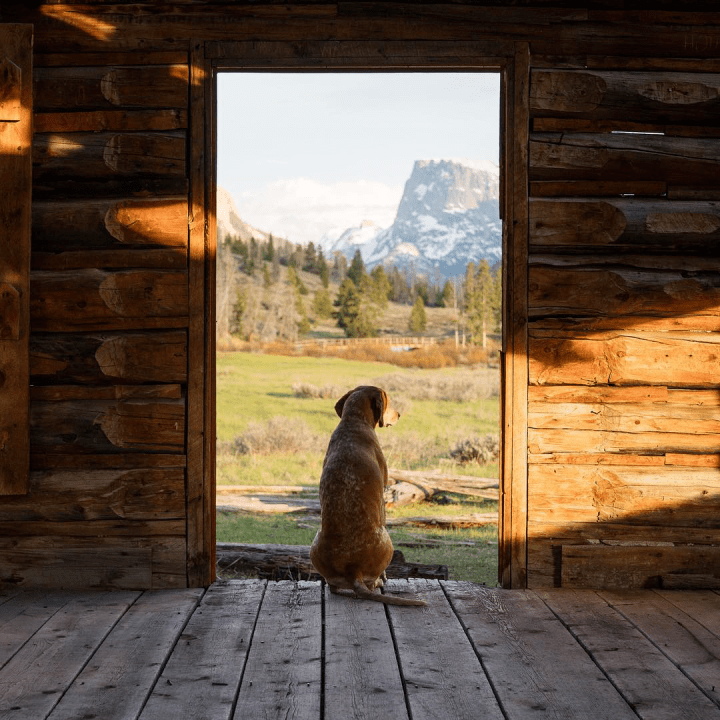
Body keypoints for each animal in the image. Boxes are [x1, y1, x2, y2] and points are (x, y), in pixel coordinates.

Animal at [310, 386, 428, 604]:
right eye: (389, 402)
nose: (399, 414)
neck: (353, 420)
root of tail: (353, 571)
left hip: (314, 545)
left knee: (333, 587)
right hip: (387, 540)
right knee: (372, 582)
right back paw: (380, 580)